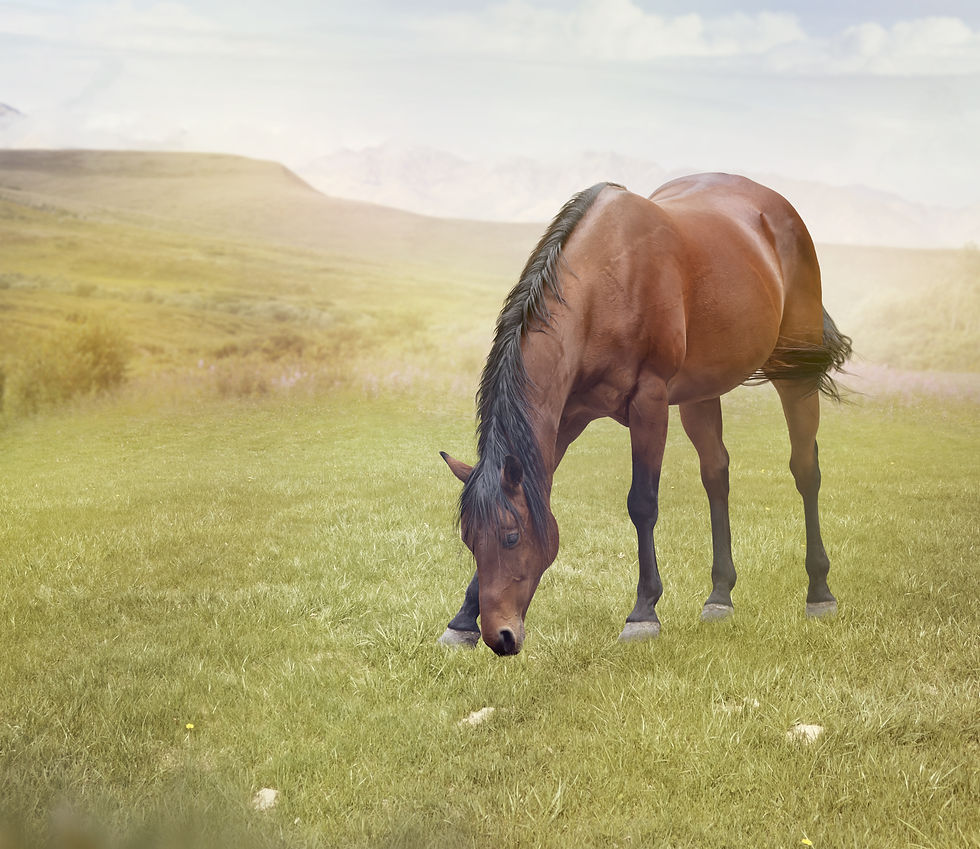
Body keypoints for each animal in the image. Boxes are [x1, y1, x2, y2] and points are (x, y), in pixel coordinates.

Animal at [439, 173, 852, 656]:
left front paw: (643, 612)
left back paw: (819, 592)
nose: (500, 637)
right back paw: (720, 596)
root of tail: (780, 209)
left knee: (805, 469)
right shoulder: (564, 419)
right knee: (716, 475)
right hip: (700, 393)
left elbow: (643, 503)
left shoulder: (649, 402)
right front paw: (462, 621)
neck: (605, 285)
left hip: (794, 372)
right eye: (470, 540)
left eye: (511, 537)